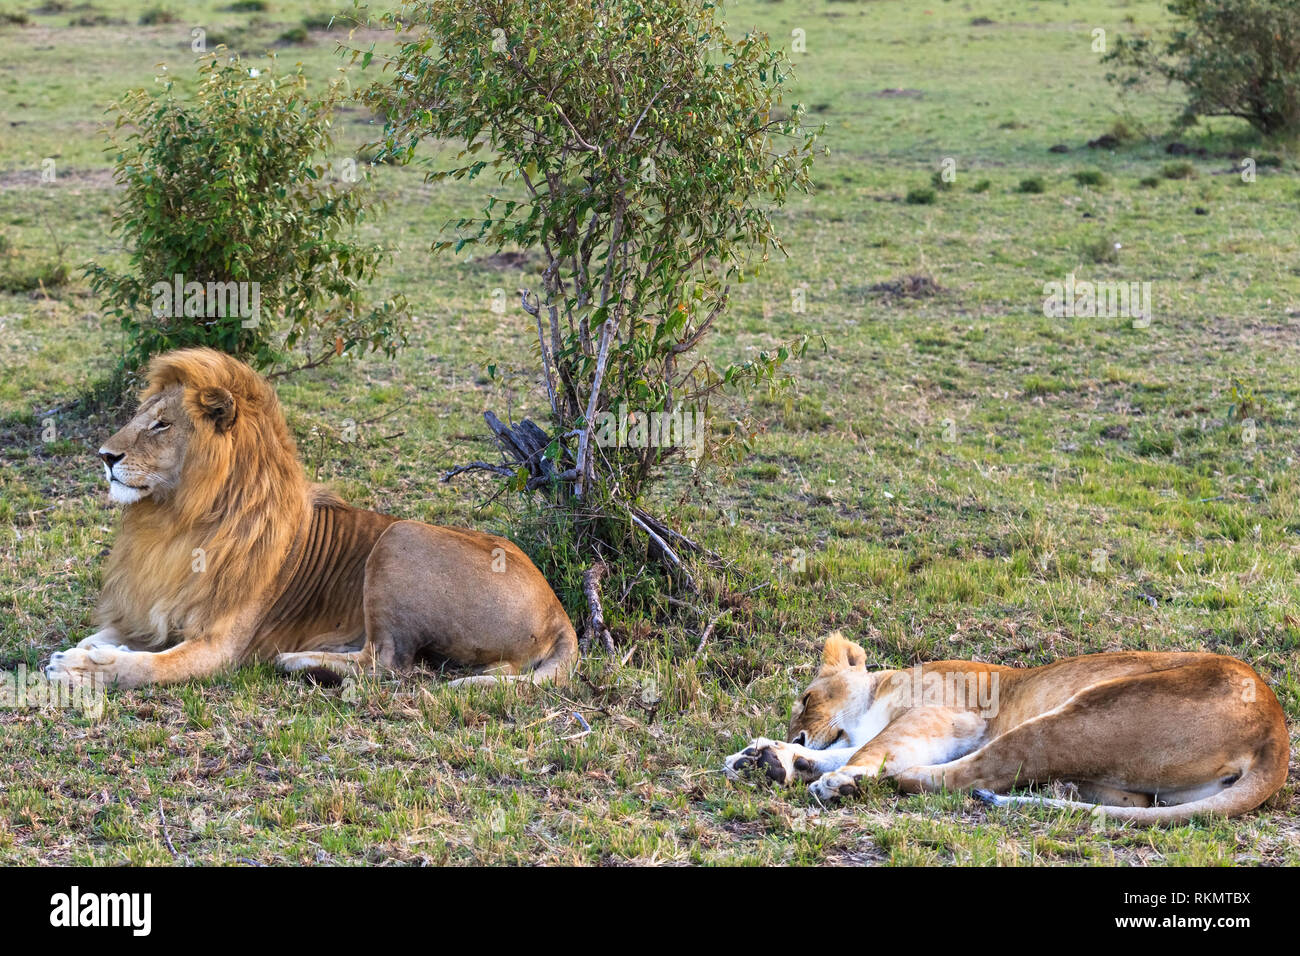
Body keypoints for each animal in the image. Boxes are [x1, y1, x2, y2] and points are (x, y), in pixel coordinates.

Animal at [44, 347, 578, 690]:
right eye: (141, 417)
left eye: (161, 424)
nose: (105, 456)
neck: (176, 520)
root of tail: (559, 613)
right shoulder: (152, 610)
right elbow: (103, 636)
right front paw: (81, 652)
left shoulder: (220, 645)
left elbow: (145, 667)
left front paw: (84, 670)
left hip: (400, 537)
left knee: (388, 664)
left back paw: (296, 661)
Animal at [725, 633, 1289, 825]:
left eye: (805, 699)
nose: (799, 734)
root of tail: (1276, 733)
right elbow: (845, 750)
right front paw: (764, 758)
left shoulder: (948, 715)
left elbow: (875, 748)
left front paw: (829, 775)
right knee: (1133, 799)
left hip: (1081, 713)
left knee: (968, 777)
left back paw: (869, 784)